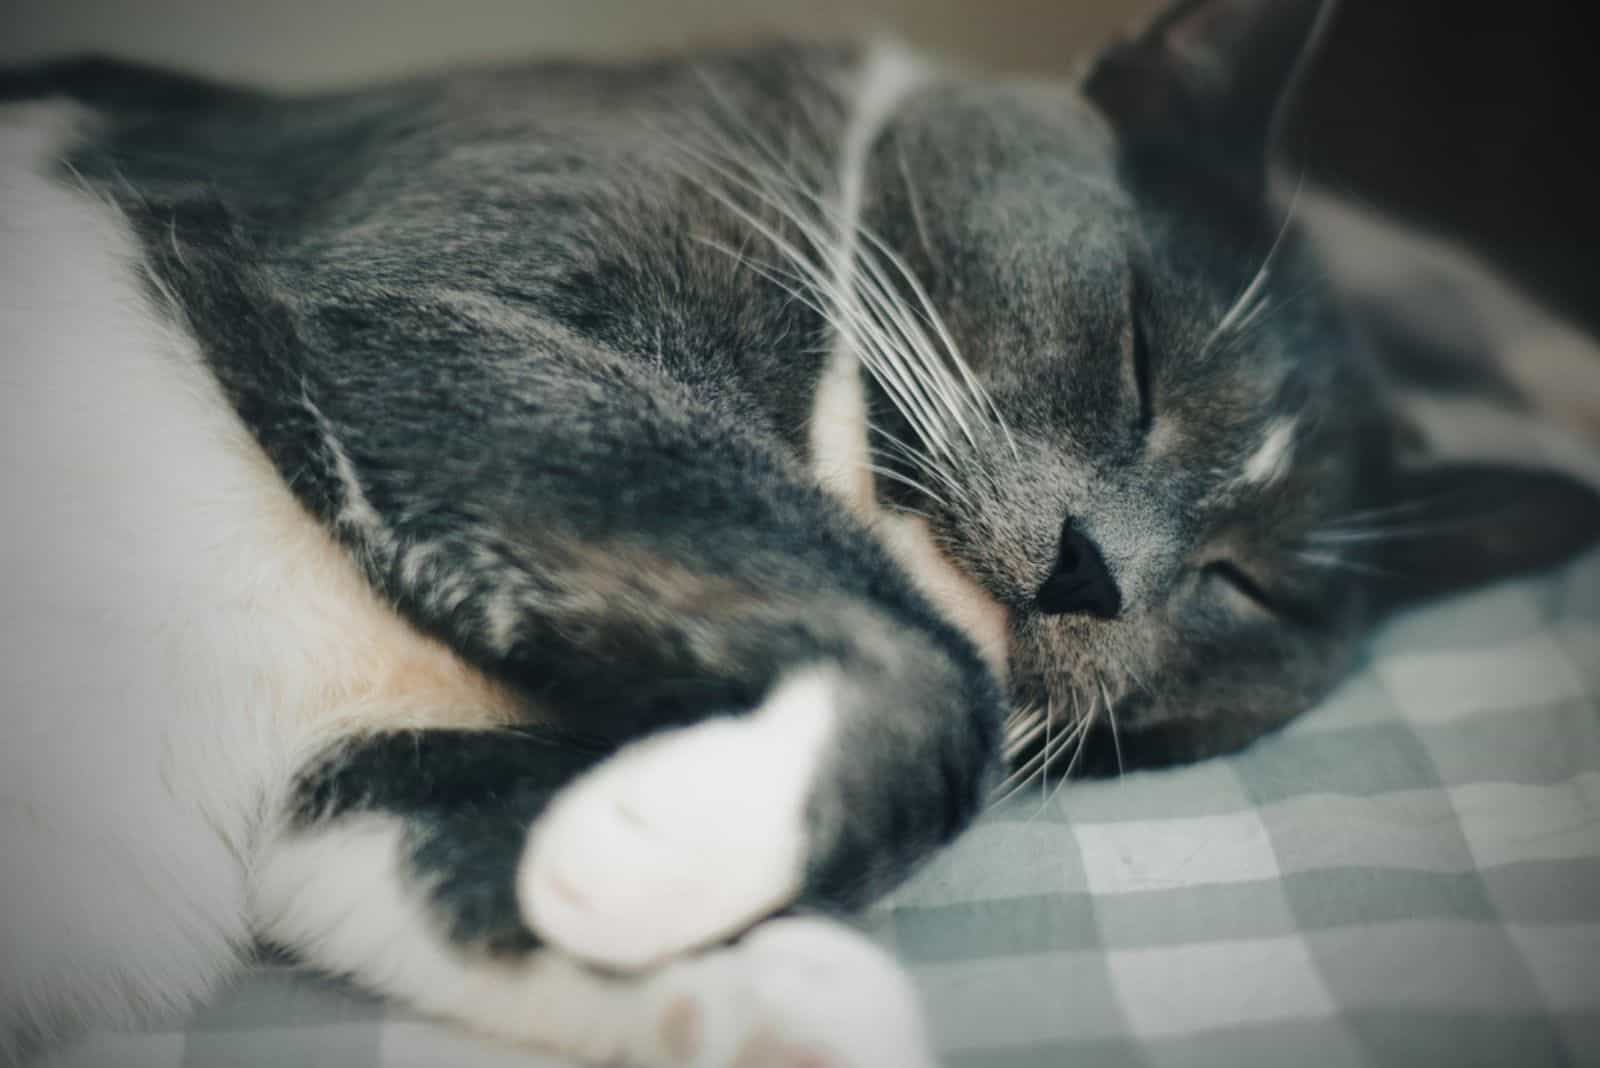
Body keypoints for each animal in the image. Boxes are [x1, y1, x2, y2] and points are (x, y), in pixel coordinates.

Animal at [3, 0, 1600, 1061]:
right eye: (1141, 350)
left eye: (1249, 589)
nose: (1098, 567)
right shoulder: (427, 301)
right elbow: (945, 682)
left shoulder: (372, 755)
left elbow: (443, 862)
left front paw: (710, 934)